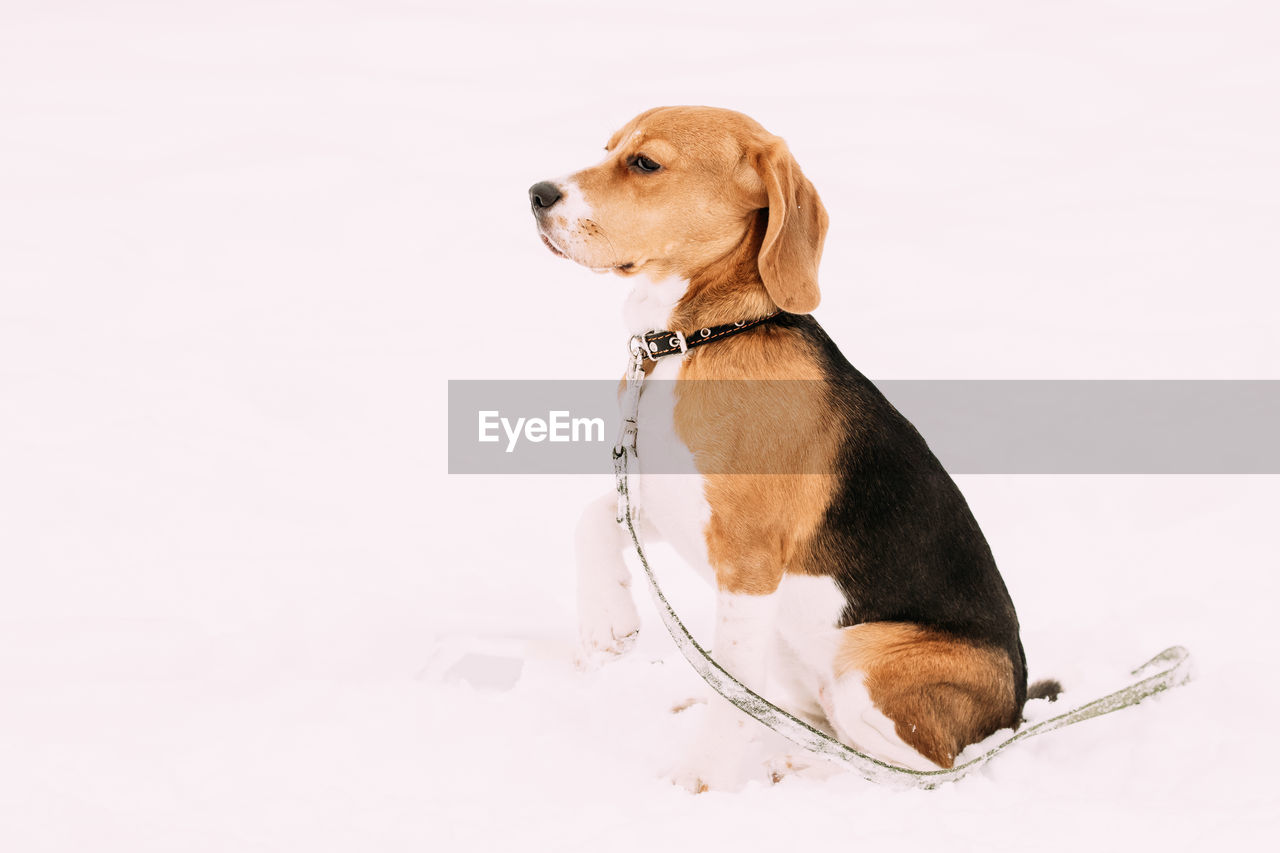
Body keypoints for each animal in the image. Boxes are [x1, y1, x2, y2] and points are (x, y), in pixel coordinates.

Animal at [524, 106, 1054, 788]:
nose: (537, 194)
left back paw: (806, 767)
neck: (699, 340)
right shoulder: (669, 502)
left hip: (868, 661)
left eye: (644, 163)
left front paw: (702, 776)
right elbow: (591, 517)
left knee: (917, 765)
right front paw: (606, 621)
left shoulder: (747, 557)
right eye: (608, 148)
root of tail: (1013, 714)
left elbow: (732, 685)